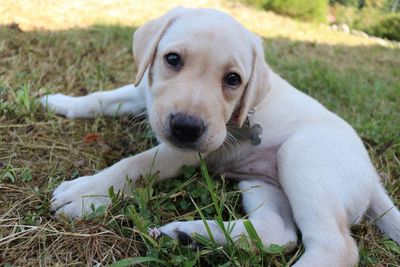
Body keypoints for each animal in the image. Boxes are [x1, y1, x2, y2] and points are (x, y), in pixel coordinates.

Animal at [42, 7, 398, 266]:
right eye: (172, 59)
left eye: (233, 79)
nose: (187, 127)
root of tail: (372, 176)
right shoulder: (144, 93)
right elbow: (101, 98)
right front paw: (60, 101)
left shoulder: (184, 151)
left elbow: (135, 164)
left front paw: (86, 193)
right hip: (261, 183)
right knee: (278, 233)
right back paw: (189, 235)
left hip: (303, 158)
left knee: (336, 246)